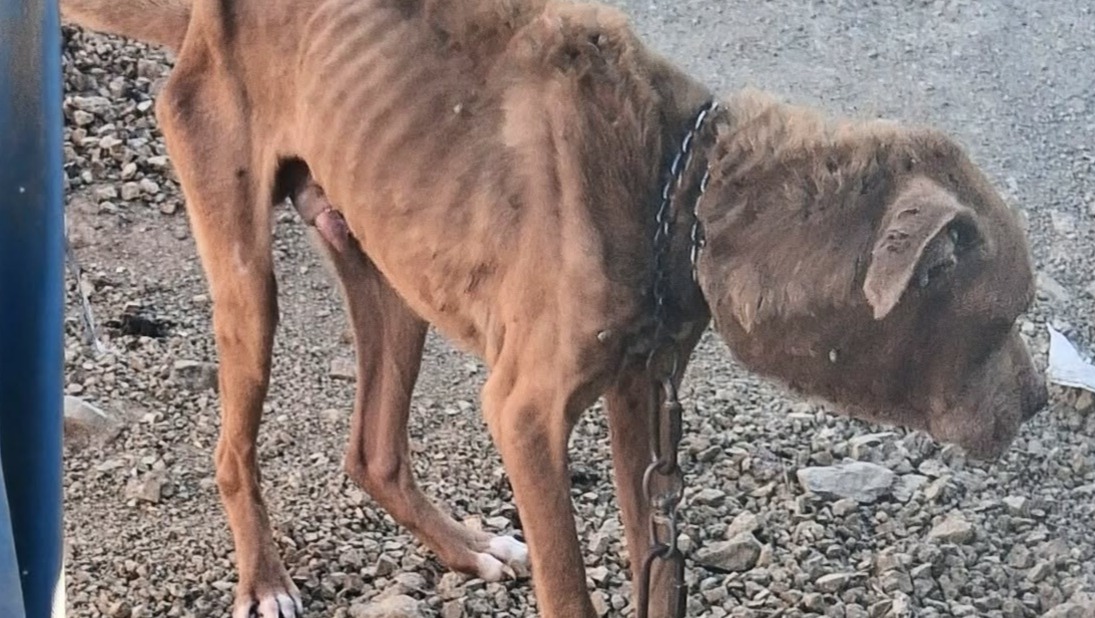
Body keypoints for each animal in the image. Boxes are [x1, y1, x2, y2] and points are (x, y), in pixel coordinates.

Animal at [60, 0, 1049, 616]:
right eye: (1003, 320)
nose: (1042, 401)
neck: (676, 183)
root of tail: (201, 17)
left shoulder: (640, 396)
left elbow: (657, 571)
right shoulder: (525, 413)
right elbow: (571, 590)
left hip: (388, 268)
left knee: (372, 452)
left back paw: (464, 547)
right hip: (246, 275)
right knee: (233, 452)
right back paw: (263, 581)